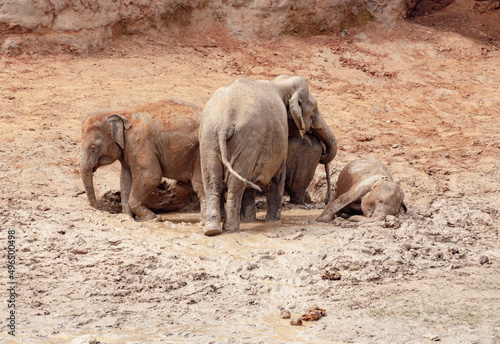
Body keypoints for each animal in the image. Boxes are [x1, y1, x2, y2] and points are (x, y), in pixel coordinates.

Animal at [197, 75, 334, 236]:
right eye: (314, 109)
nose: (327, 200)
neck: (281, 83)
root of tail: (225, 123)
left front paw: (249, 221)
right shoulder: (280, 138)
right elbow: (277, 178)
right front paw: (274, 223)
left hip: (209, 138)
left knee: (212, 182)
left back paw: (212, 230)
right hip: (246, 139)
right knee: (235, 184)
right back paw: (231, 229)